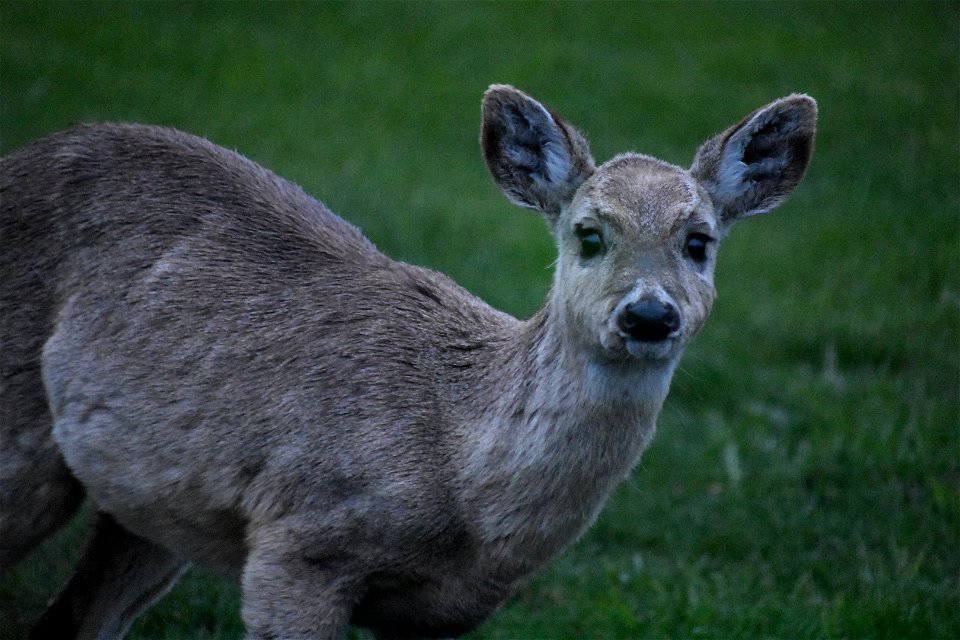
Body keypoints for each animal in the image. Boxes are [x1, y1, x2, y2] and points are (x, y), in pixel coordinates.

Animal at [0, 86, 816, 640]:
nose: (649, 315)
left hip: (151, 502)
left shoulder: (430, 617)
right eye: (589, 234)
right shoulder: (299, 542)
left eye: (699, 241)